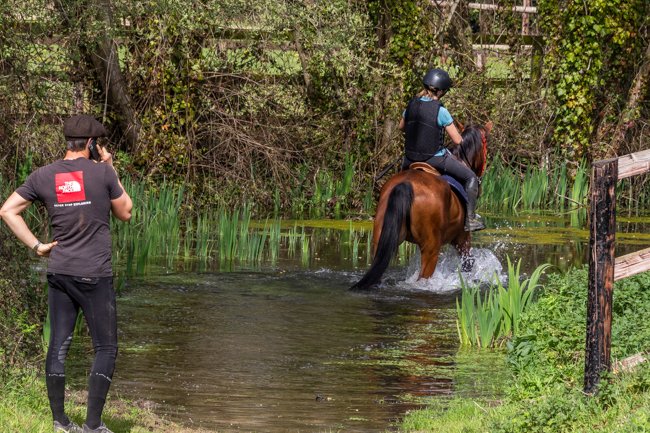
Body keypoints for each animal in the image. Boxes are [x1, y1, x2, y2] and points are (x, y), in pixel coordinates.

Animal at [350, 121, 492, 290]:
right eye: (486, 143)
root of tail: (406, 184)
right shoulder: (462, 238)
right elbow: (468, 264)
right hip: (431, 249)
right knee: (423, 278)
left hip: (380, 241)